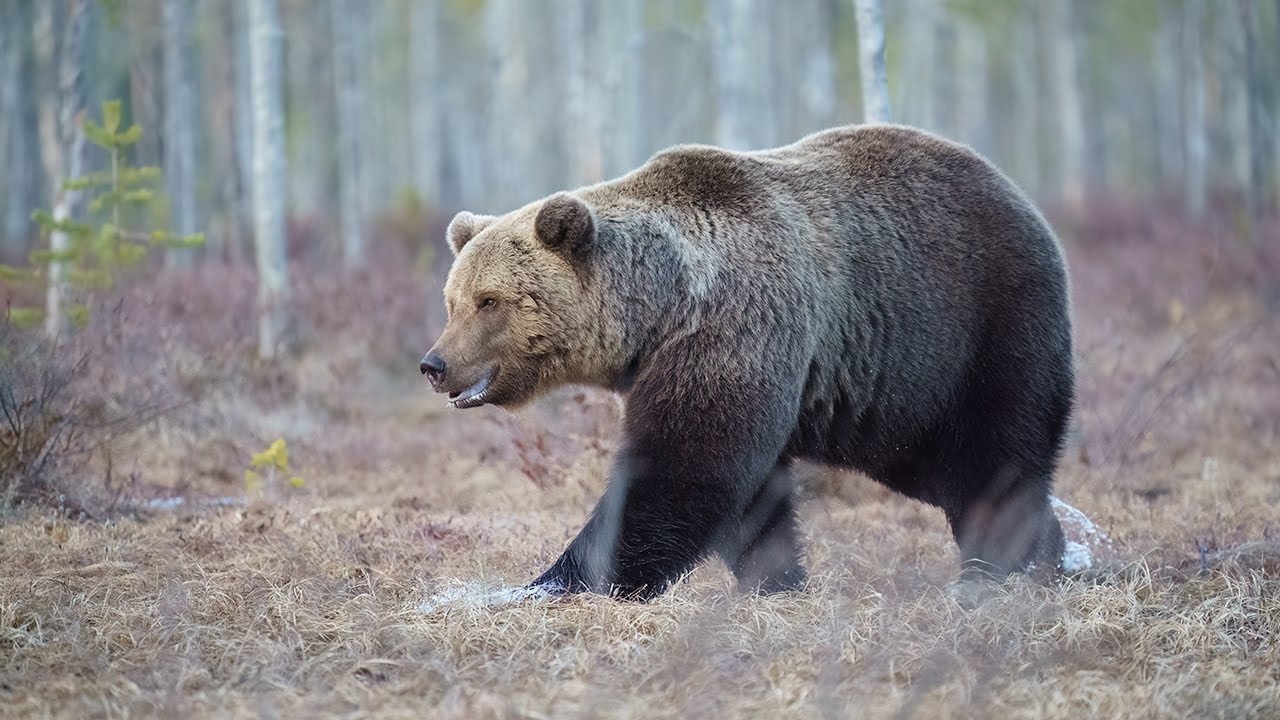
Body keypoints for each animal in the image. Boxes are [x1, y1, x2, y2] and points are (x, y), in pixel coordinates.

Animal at [420, 123, 1074, 601]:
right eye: (452, 300)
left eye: (490, 301)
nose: (434, 363)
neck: (662, 309)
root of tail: (1023, 199)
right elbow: (747, 498)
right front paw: (777, 581)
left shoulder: (735, 330)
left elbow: (683, 471)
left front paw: (552, 582)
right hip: (898, 402)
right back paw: (1048, 553)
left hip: (979, 329)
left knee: (994, 457)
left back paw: (995, 569)